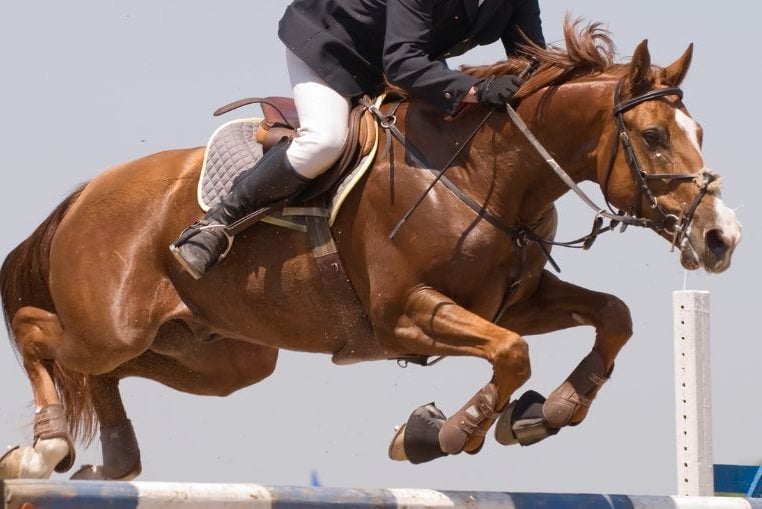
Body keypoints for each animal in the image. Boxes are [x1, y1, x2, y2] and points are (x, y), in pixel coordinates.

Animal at [0, 20, 741, 479]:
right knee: (40, 331)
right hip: (113, 323)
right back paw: (41, 450)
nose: (720, 237)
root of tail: (83, 195)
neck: (486, 174)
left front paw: (545, 413)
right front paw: (438, 434)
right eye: (653, 136)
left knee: (106, 372)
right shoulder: (405, 313)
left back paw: (111, 461)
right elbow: (510, 353)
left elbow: (613, 316)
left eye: (699, 131)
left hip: (220, 356)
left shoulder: (517, 299)